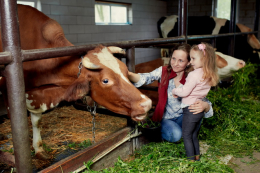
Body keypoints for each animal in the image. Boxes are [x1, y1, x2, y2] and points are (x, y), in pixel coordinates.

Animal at [0, 4, 152, 160]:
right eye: (105, 80)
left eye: (126, 71)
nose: (146, 103)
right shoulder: (8, 86)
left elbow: (36, 121)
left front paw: (39, 149)